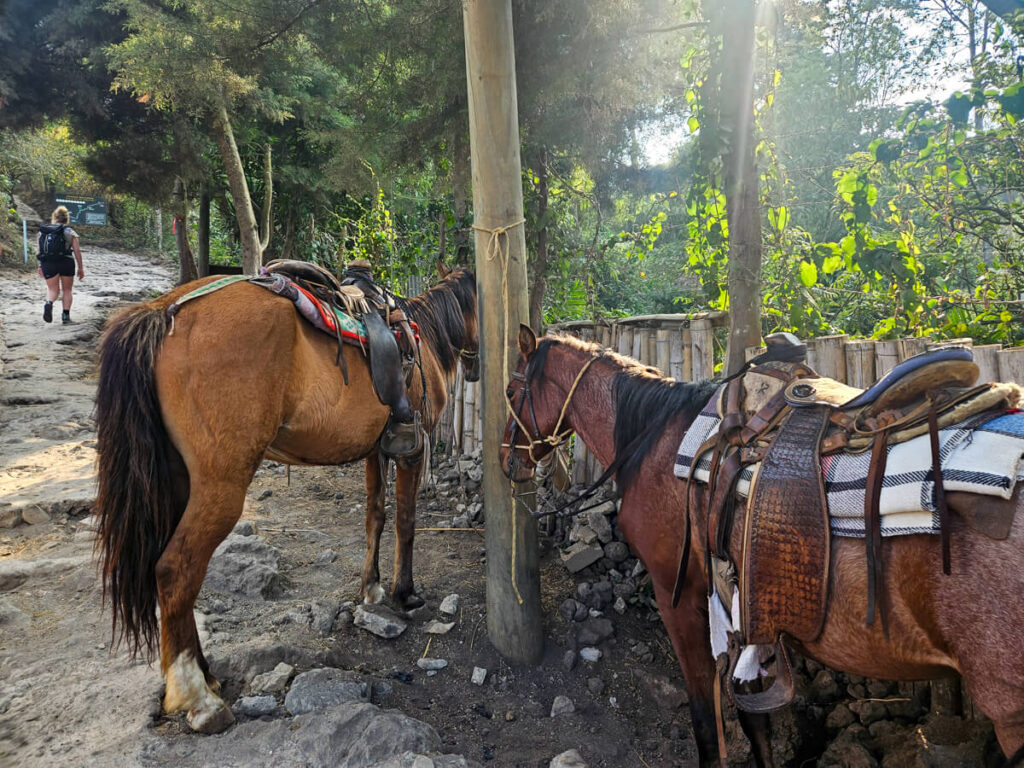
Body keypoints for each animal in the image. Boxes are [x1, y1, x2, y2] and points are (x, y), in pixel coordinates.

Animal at [93, 264, 478, 734]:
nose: (478, 367)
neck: (421, 338)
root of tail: (164, 310)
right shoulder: (412, 450)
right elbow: (406, 522)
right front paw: (404, 593)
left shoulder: (376, 451)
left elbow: (375, 515)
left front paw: (370, 588)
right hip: (221, 486)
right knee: (175, 571)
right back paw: (199, 698)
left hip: (176, 480)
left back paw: (208, 676)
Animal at [501, 325, 1024, 767]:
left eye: (509, 393)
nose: (508, 461)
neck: (656, 440)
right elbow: (756, 722)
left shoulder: (680, 597)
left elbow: (707, 721)